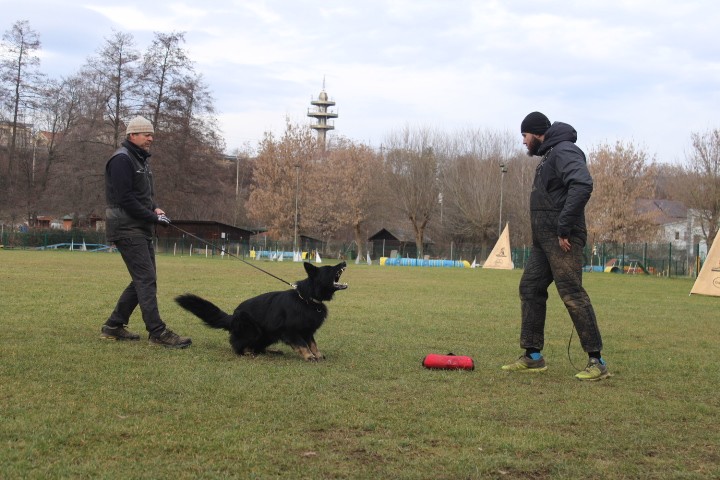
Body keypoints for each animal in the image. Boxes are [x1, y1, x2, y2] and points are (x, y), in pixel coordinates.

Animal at [173, 262, 344, 360]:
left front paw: (317, 354)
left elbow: (313, 344)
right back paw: (248, 352)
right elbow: (302, 344)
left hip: (268, 335)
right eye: (330, 268)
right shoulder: (291, 331)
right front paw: (309, 356)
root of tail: (232, 317)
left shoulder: (307, 331)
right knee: (237, 346)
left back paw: (271, 351)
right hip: (254, 331)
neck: (307, 298)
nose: (344, 262)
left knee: (258, 347)